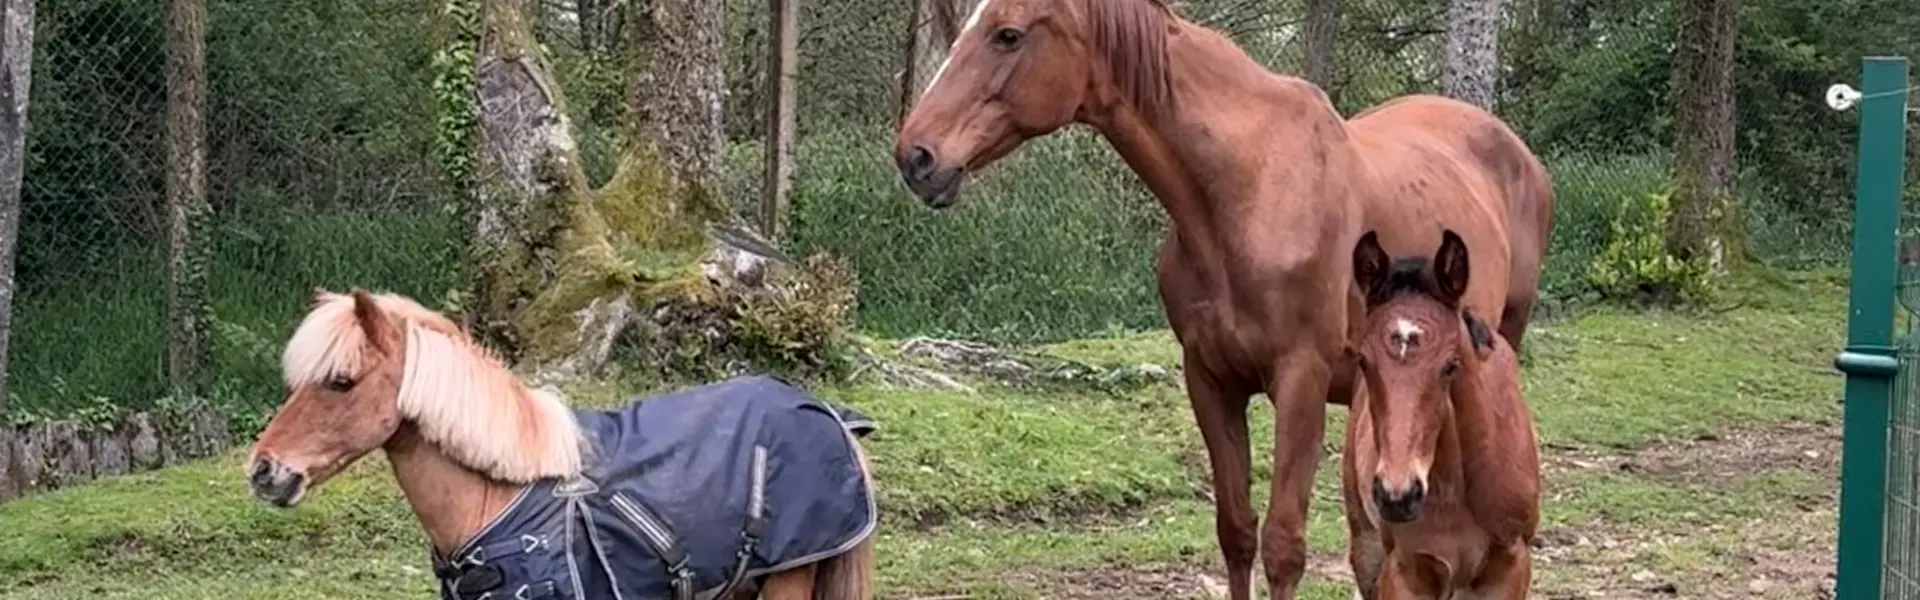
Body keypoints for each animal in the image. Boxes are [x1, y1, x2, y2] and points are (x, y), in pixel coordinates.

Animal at [1341, 230, 1541, 599]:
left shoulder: (1509, 565)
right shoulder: (1406, 569)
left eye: (1450, 365)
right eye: (1363, 361)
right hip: (1366, 545)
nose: (1398, 495)